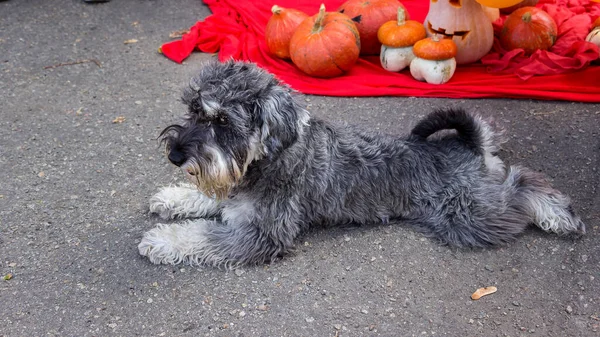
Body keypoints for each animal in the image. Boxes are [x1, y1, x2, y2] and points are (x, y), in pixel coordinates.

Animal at [137, 59, 584, 266]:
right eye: (194, 110)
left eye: (223, 121)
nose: (176, 154)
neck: (267, 157)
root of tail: (468, 147)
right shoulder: (235, 196)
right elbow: (207, 199)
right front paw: (171, 198)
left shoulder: (261, 235)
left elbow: (202, 236)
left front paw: (160, 240)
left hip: (470, 216)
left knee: (522, 184)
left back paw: (560, 215)